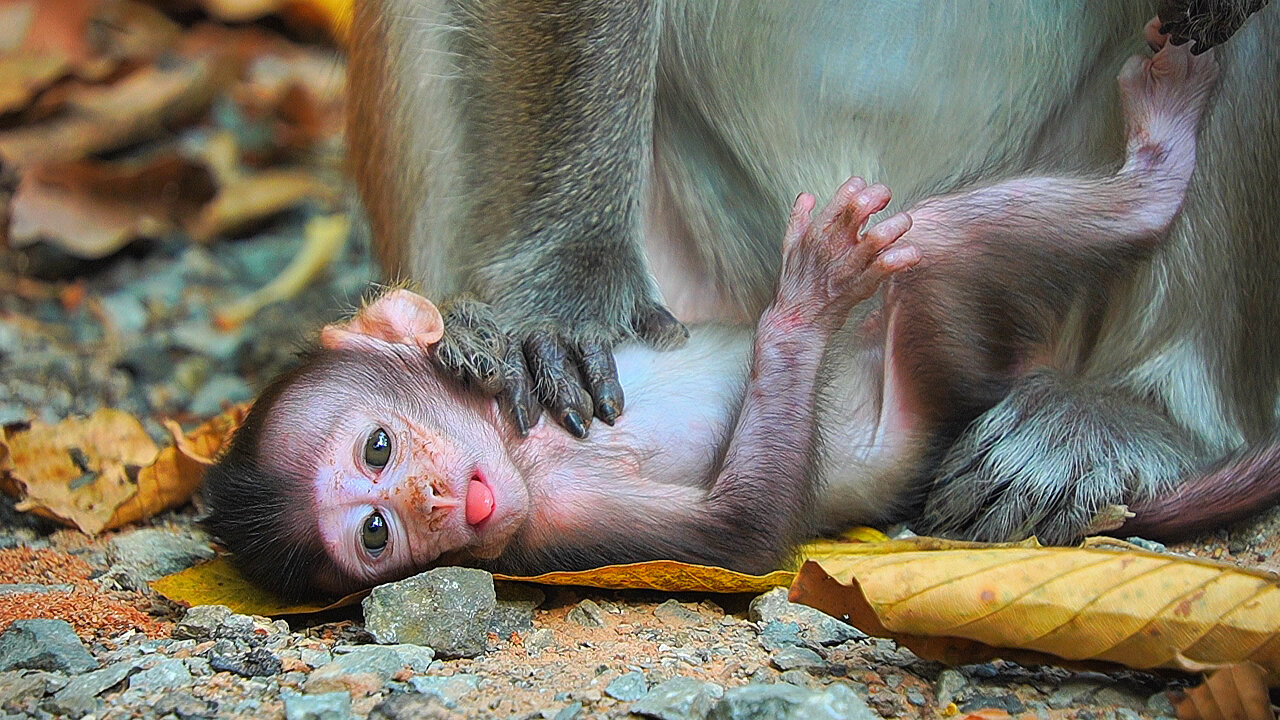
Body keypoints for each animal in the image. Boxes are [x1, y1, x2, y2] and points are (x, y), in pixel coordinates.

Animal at [204, 35, 1223, 594]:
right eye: (376, 534)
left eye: (379, 449)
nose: (429, 500)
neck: (518, 452)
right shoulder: (555, 528)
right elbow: (742, 531)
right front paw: (801, 308)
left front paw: (479, 337)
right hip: (932, 362)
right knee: (948, 254)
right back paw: (1153, 178)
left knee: (939, 234)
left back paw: (1160, 142)